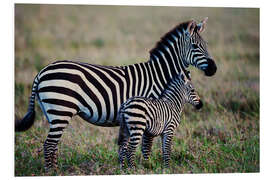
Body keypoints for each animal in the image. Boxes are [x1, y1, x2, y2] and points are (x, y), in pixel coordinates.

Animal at [15, 17, 217, 170]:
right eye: (195, 46)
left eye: (207, 45)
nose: (214, 69)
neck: (158, 75)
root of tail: (42, 71)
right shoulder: (150, 112)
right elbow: (146, 145)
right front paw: (146, 166)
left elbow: (129, 145)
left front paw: (128, 167)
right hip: (61, 109)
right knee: (49, 144)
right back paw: (52, 172)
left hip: (53, 113)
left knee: (53, 145)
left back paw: (55, 170)